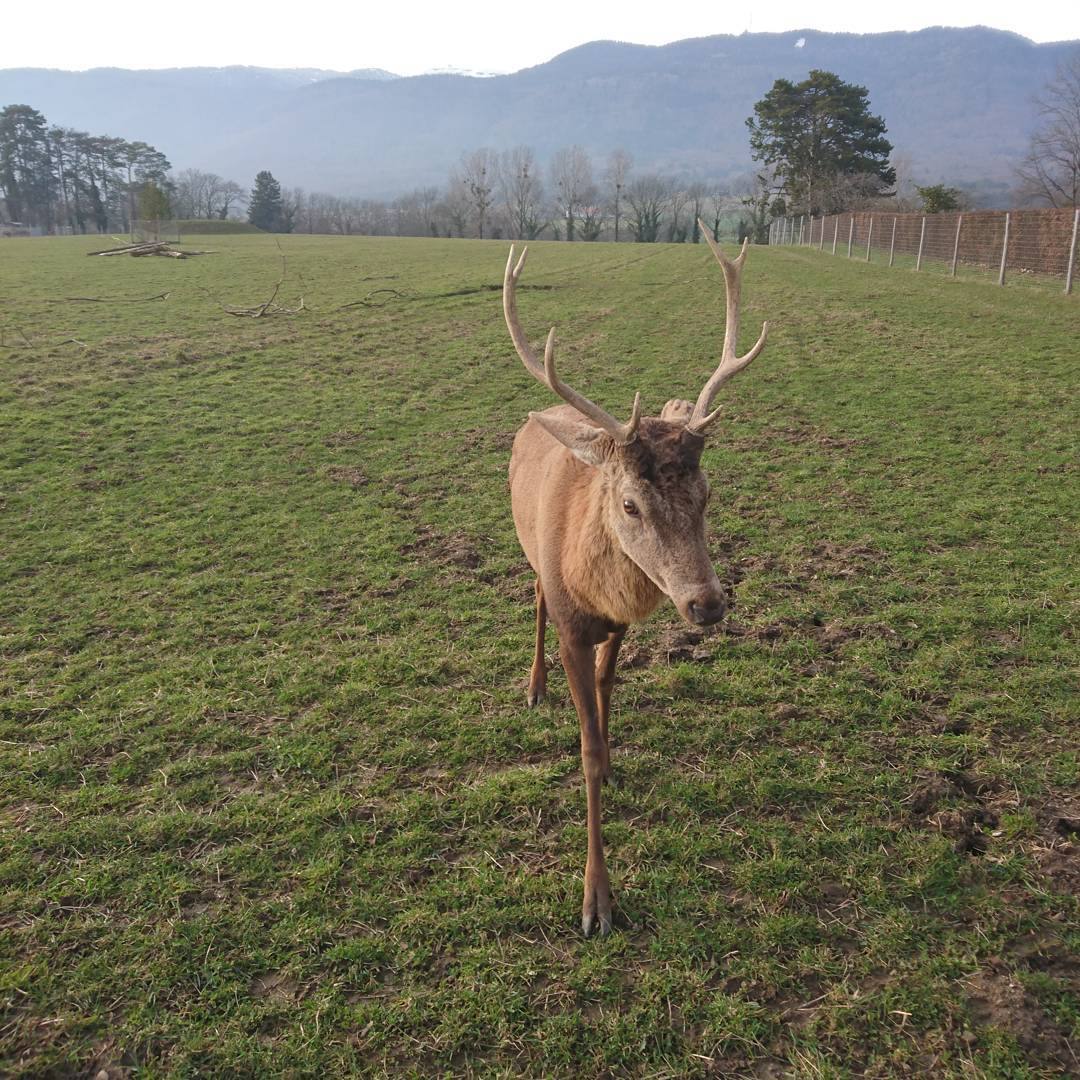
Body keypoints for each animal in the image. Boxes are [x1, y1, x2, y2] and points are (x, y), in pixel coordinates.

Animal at [503, 221, 769, 936]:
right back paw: (533, 686)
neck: (595, 591)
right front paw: (597, 900)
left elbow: (606, 686)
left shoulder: (618, 623)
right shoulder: (573, 623)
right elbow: (586, 751)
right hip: (527, 552)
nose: (707, 603)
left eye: (707, 493)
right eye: (630, 504)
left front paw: (617, 753)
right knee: (533, 598)